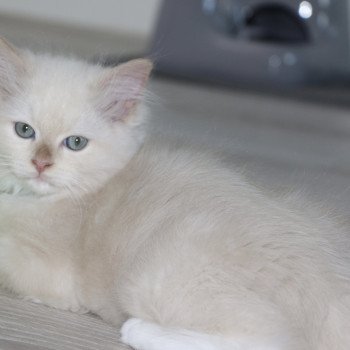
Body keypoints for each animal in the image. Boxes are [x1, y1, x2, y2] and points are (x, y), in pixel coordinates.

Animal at [0, 36, 348, 350]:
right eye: (24, 130)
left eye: (75, 143)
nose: (40, 164)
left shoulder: (53, 273)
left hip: (152, 279)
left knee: (269, 340)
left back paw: (137, 330)